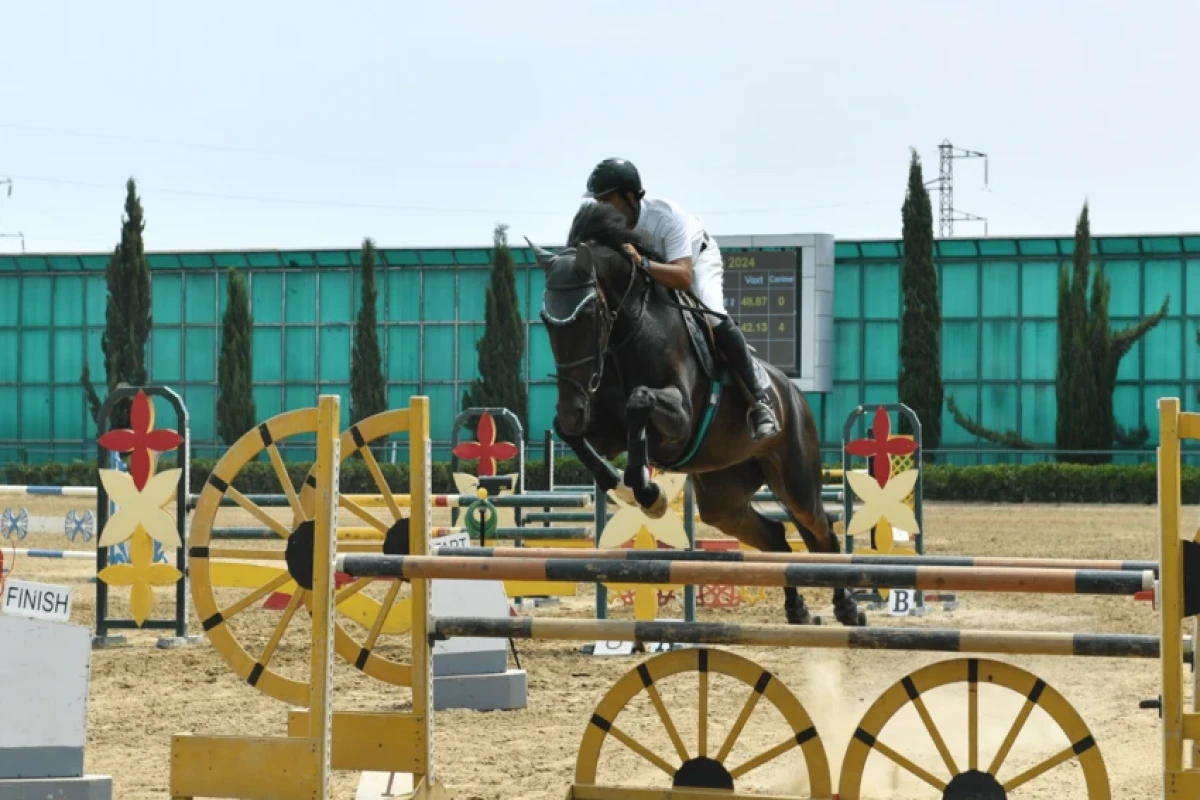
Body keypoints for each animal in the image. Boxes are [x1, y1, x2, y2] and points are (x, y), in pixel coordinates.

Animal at [530, 200, 868, 623]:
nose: (573, 407)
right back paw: (798, 610)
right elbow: (575, 437)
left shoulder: (680, 422)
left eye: (589, 314)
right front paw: (622, 487)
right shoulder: (606, 433)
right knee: (775, 536)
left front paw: (648, 493)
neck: (630, 331)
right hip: (723, 498)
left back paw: (848, 607)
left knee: (821, 529)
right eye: (546, 319)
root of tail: (791, 392)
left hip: (796, 480)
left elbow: (640, 401)